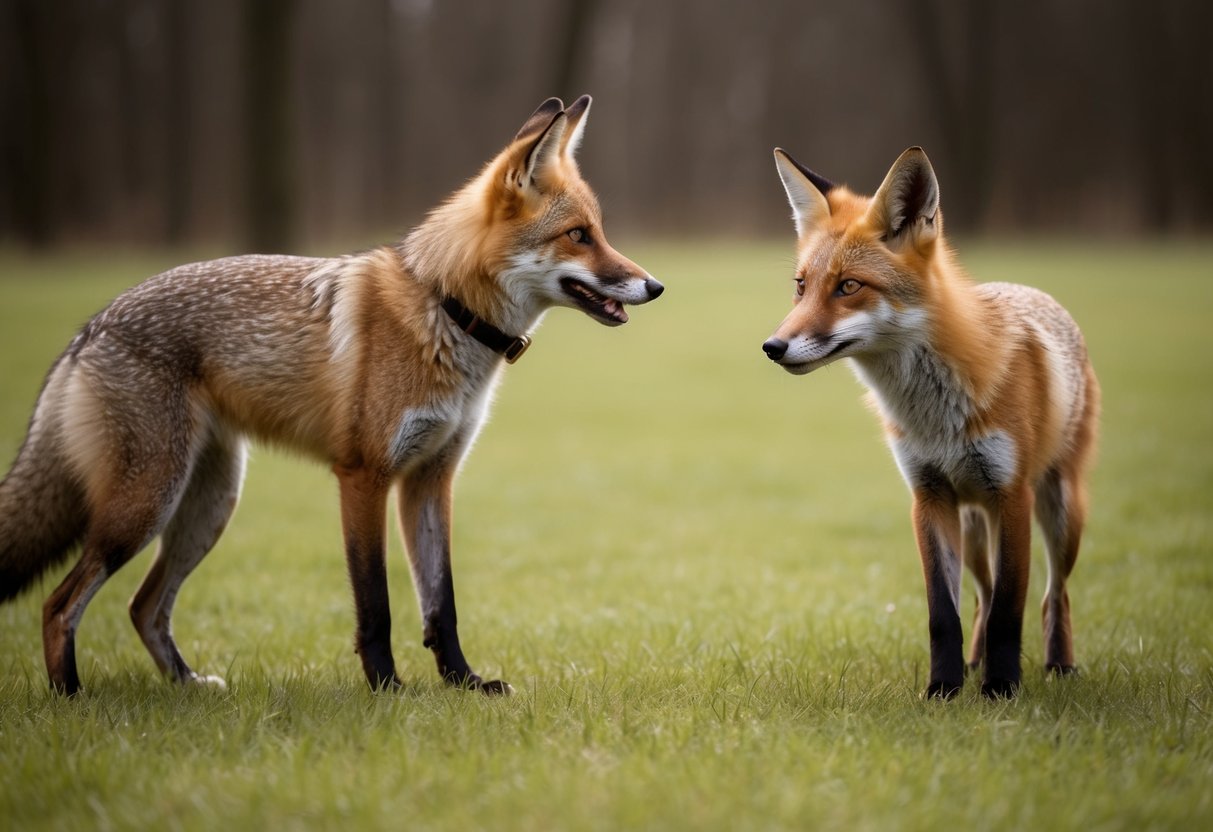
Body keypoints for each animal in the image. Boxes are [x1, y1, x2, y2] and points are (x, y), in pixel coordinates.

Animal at [0, 95, 663, 696]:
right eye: (579, 236)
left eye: (599, 232)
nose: (655, 286)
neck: (444, 306)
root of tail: (90, 327)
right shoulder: (364, 476)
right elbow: (377, 604)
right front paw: (387, 689)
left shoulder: (431, 479)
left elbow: (441, 603)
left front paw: (464, 684)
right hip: (145, 506)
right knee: (59, 604)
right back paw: (71, 697)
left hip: (208, 505)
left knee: (143, 606)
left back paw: (187, 685)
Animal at [761, 146, 1099, 699]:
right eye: (801, 286)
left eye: (848, 286)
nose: (773, 347)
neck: (937, 419)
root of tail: (1031, 290)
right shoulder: (929, 496)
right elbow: (945, 613)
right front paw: (943, 689)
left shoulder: (1013, 496)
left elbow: (1010, 609)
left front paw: (1002, 690)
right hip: (975, 526)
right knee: (982, 596)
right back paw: (974, 663)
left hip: (1060, 511)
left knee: (1055, 594)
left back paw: (1057, 665)